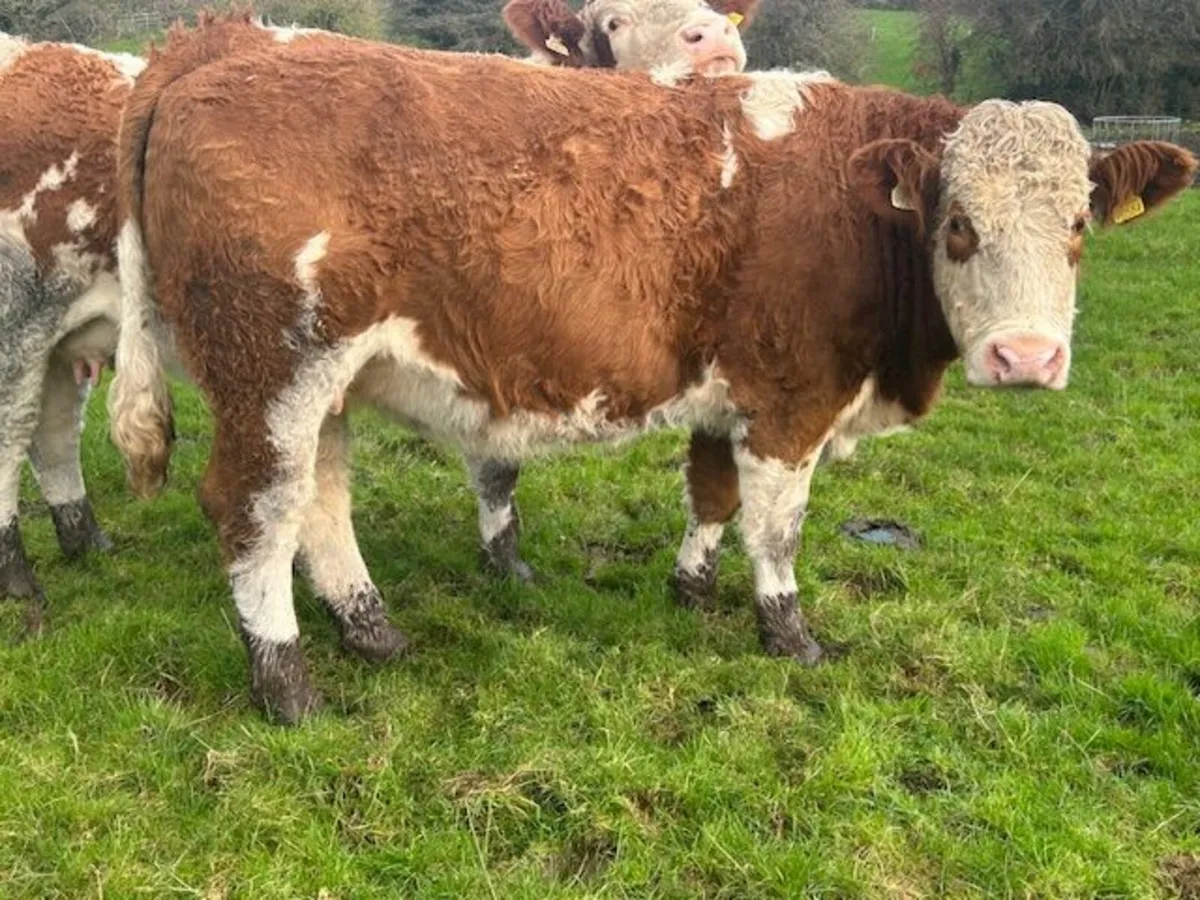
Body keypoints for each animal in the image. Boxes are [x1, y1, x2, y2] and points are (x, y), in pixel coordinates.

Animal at [109, 19, 1195, 723]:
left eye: (1079, 226)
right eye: (958, 225)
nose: (1027, 358)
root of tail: (228, 45)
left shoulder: (732, 391)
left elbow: (712, 495)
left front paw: (693, 588)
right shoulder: (793, 395)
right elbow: (778, 525)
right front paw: (788, 633)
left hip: (319, 380)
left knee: (319, 501)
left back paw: (372, 631)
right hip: (270, 367)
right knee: (254, 509)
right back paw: (286, 682)